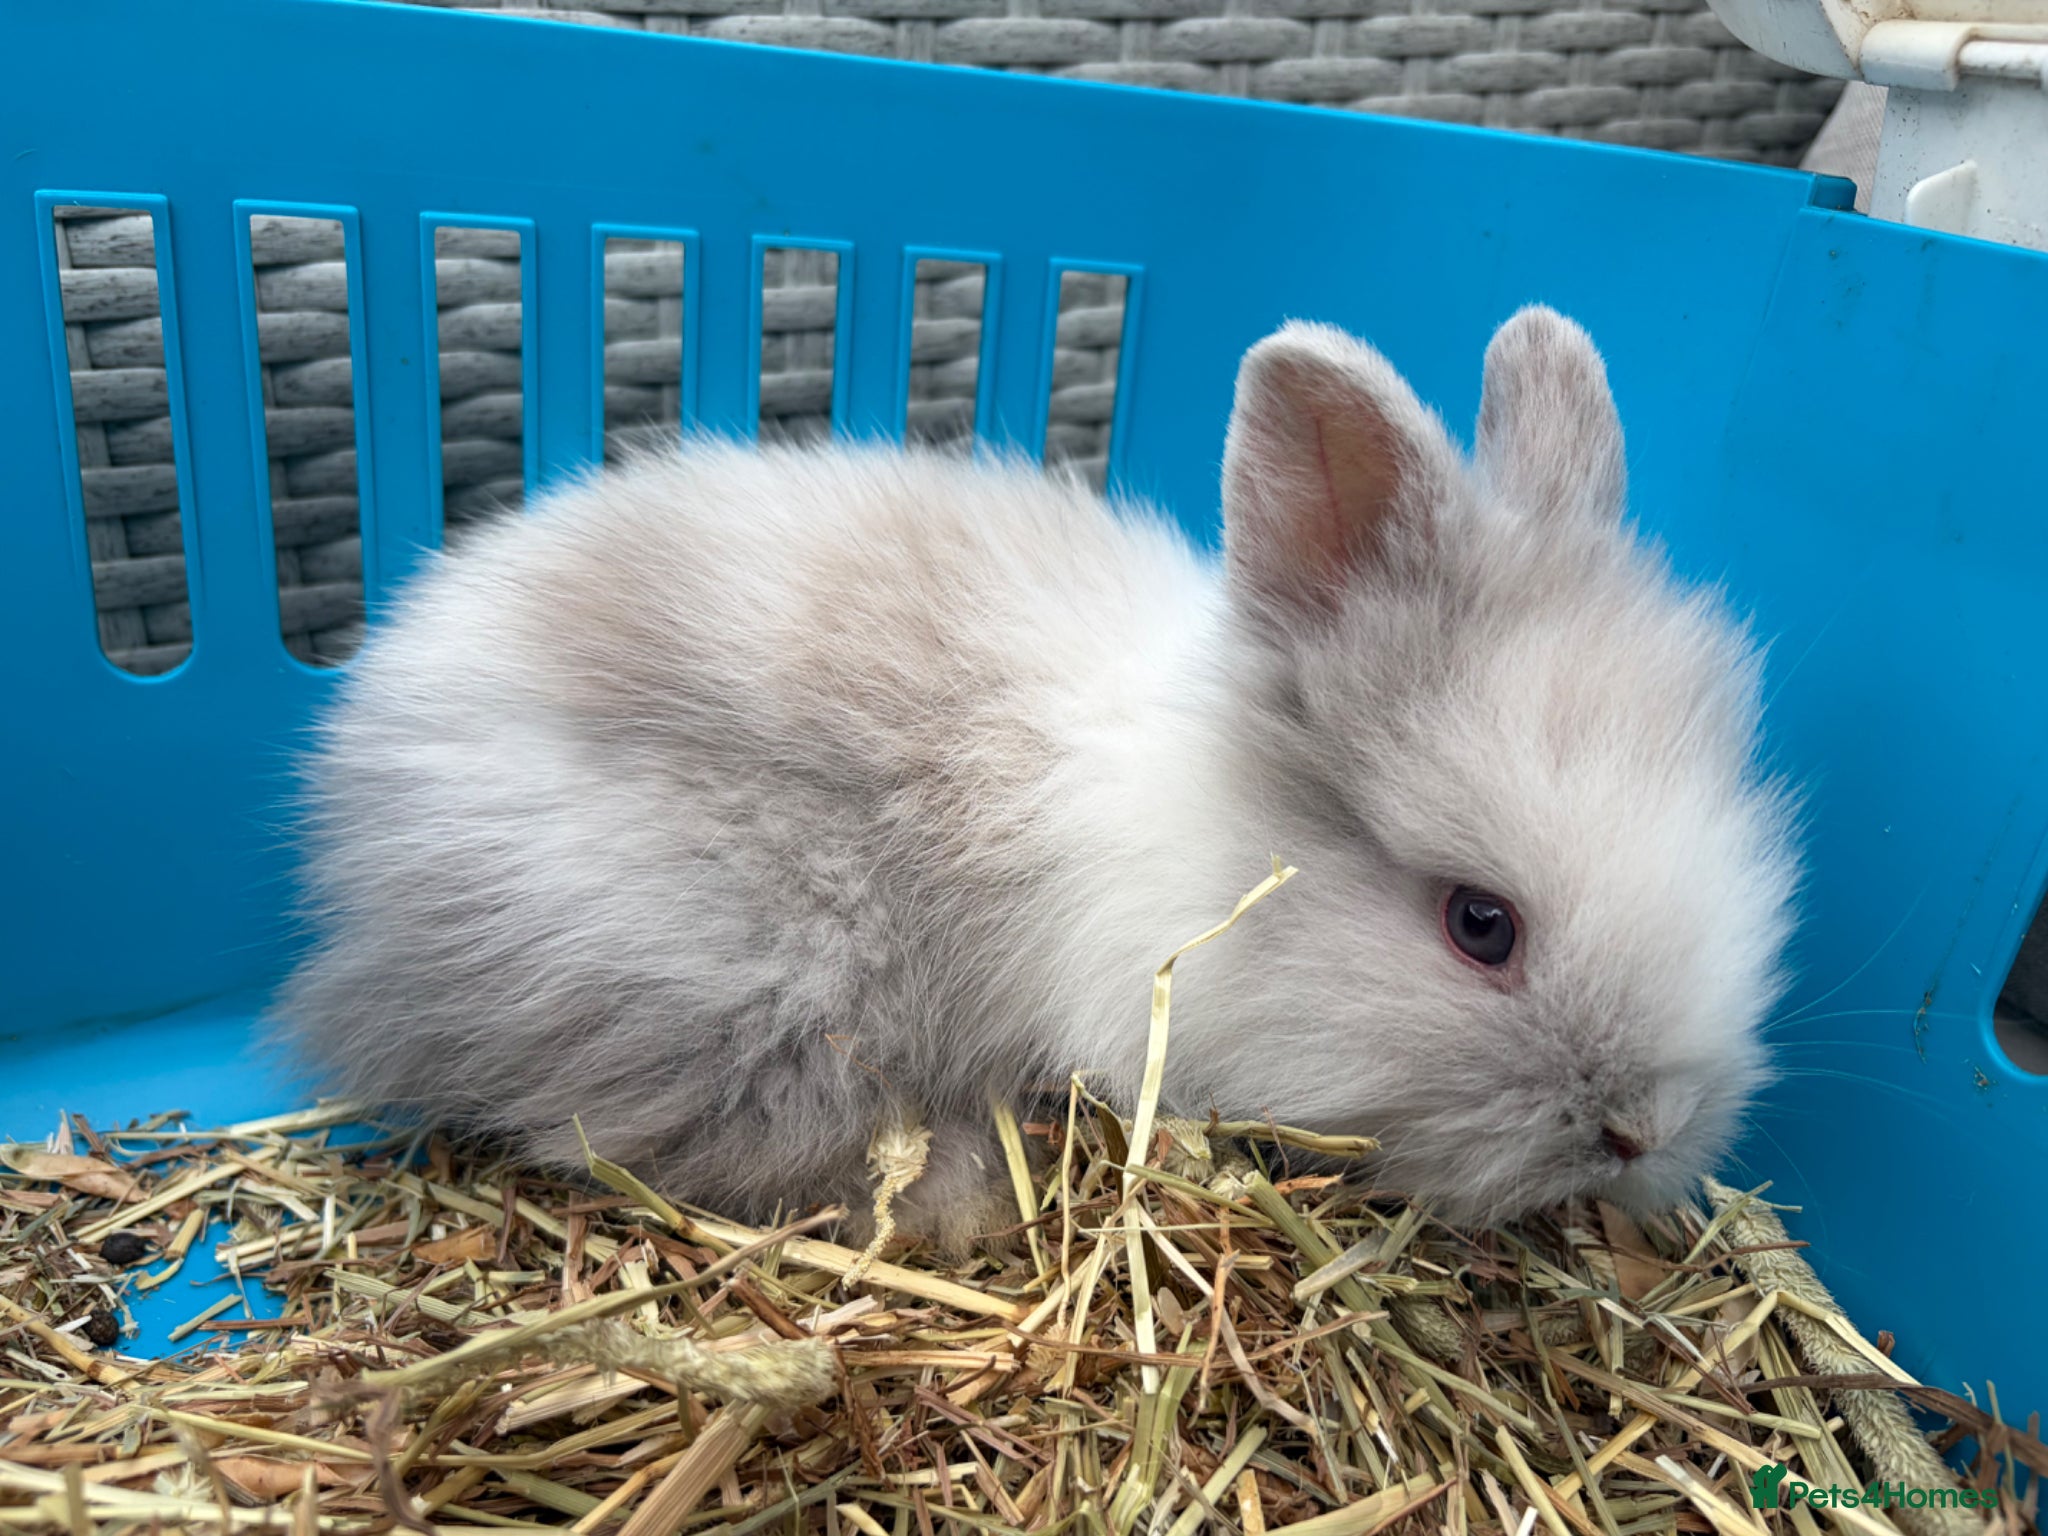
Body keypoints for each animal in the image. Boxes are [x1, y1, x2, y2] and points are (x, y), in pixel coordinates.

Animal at [275, 305, 1800, 1255]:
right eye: (1480, 924)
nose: (1645, 1133)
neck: (1218, 834)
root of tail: (348, 841)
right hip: (744, 981)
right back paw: (960, 1196)